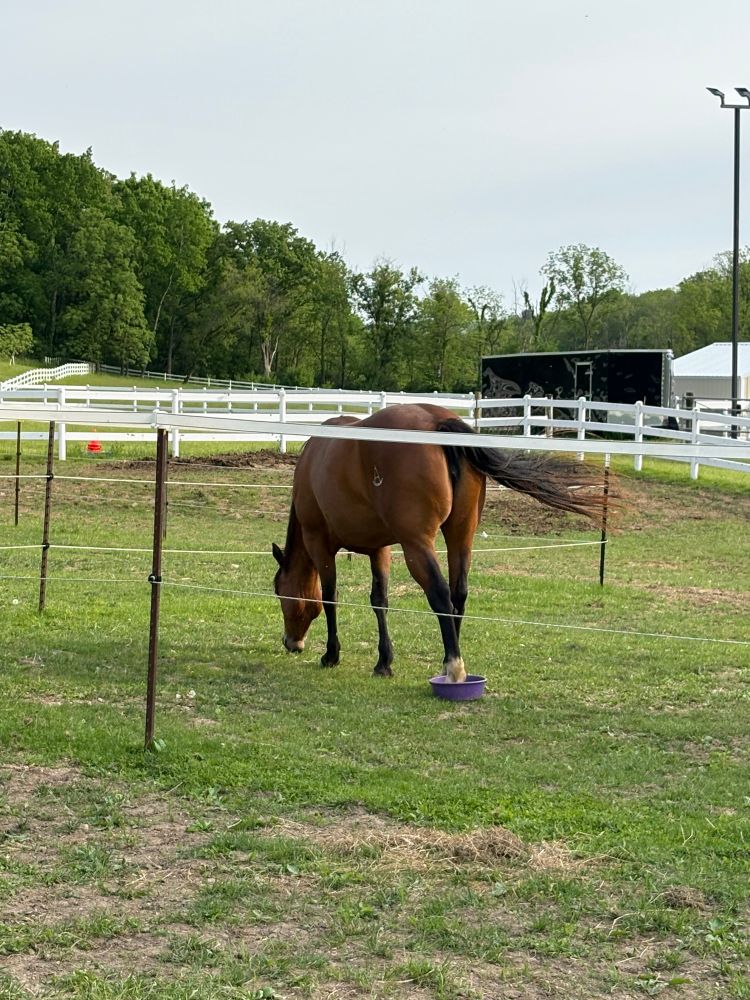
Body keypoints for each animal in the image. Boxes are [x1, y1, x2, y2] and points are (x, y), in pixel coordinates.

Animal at [272, 403, 607, 682]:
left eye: (278, 591)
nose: (291, 642)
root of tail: (438, 421)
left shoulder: (319, 543)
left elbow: (330, 597)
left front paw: (331, 654)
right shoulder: (380, 548)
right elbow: (379, 600)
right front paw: (384, 662)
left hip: (417, 545)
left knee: (440, 593)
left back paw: (454, 665)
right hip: (460, 535)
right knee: (459, 593)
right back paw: (449, 658)